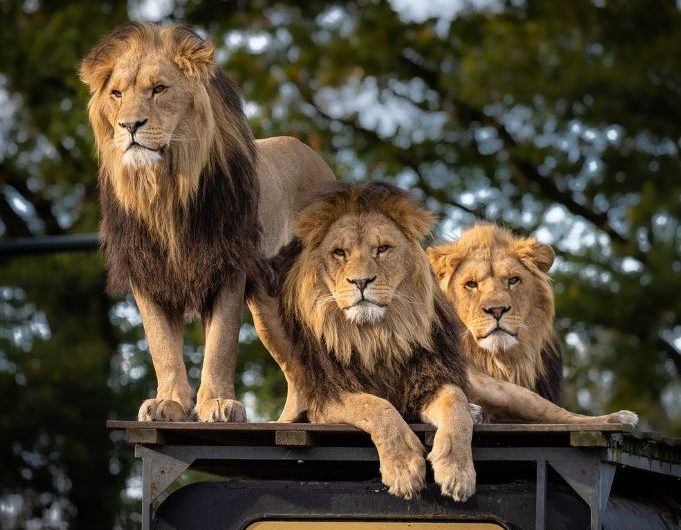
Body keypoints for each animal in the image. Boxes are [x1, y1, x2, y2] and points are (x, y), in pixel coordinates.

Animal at [80, 23, 334, 422]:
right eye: (117, 94)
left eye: (159, 89)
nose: (129, 125)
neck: (165, 190)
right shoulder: (147, 272)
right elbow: (161, 346)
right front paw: (168, 403)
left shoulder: (228, 266)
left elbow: (220, 344)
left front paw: (217, 403)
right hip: (269, 309)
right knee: (297, 368)